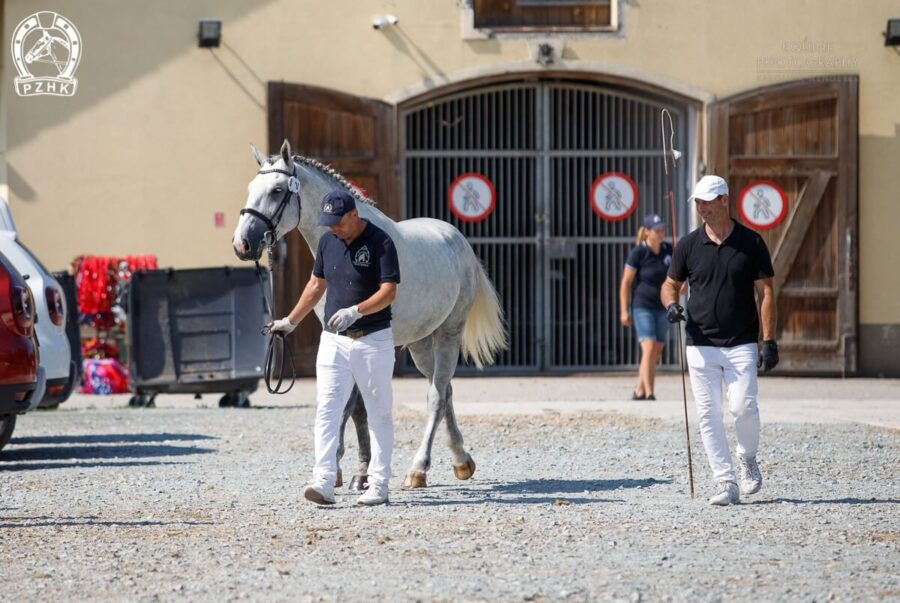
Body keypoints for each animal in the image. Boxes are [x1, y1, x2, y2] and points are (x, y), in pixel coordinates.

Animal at [232, 140, 506, 490]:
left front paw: (339, 466)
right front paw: (355, 471)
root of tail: (458, 241)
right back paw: (461, 461)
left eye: (278, 190)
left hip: (448, 333)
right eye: (250, 189)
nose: (242, 244)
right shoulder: (338, 334)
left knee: (435, 395)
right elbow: (354, 404)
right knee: (445, 390)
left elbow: (352, 402)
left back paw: (419, 469)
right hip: (420, 343)